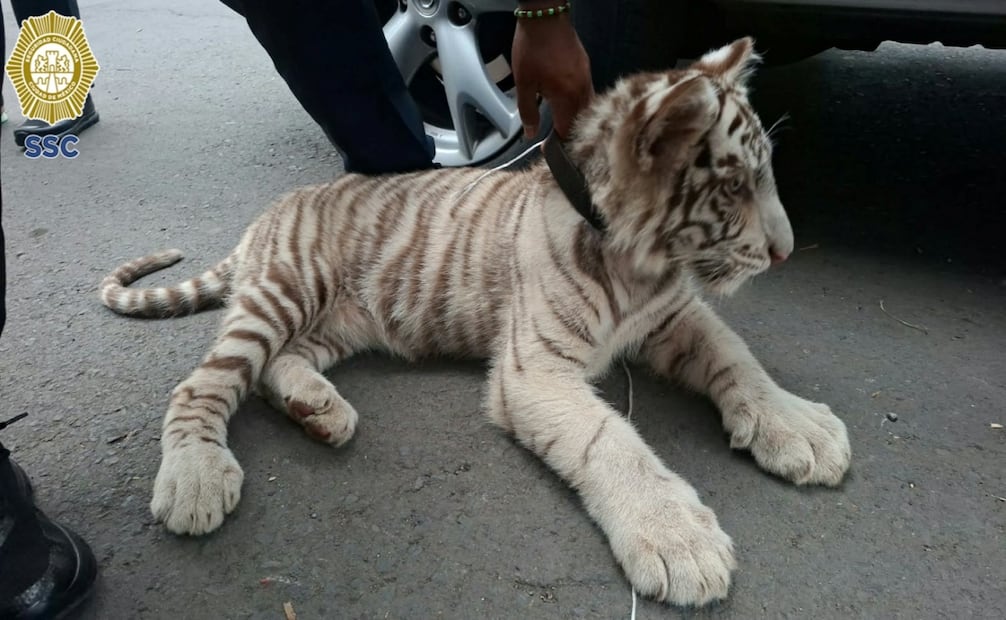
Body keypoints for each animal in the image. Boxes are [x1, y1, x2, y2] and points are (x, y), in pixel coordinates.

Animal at [99, 38, 851, 607]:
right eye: (734, 188)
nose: (785, 251)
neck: (644, 264)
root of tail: (269, 214)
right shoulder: (535, 369)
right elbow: (612, 441)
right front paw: (677, 538)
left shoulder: (675, 317)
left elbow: (737, 356)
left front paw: (797, 426)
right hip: (286, 290)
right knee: (204, 383)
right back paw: (195, 477)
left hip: (339, 320)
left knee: (276, 366)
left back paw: (319, 410)